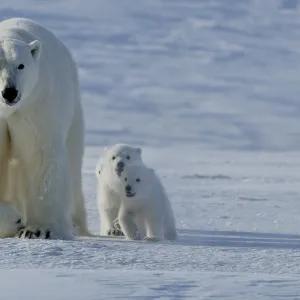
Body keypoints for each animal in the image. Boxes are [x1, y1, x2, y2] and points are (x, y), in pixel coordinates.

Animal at [0, 18, 89, 239]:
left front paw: (39, 229)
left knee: (73, 164)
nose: (10, 92)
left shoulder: (36, 103)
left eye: (21, 65)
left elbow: (39, 153)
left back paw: (76, 225)